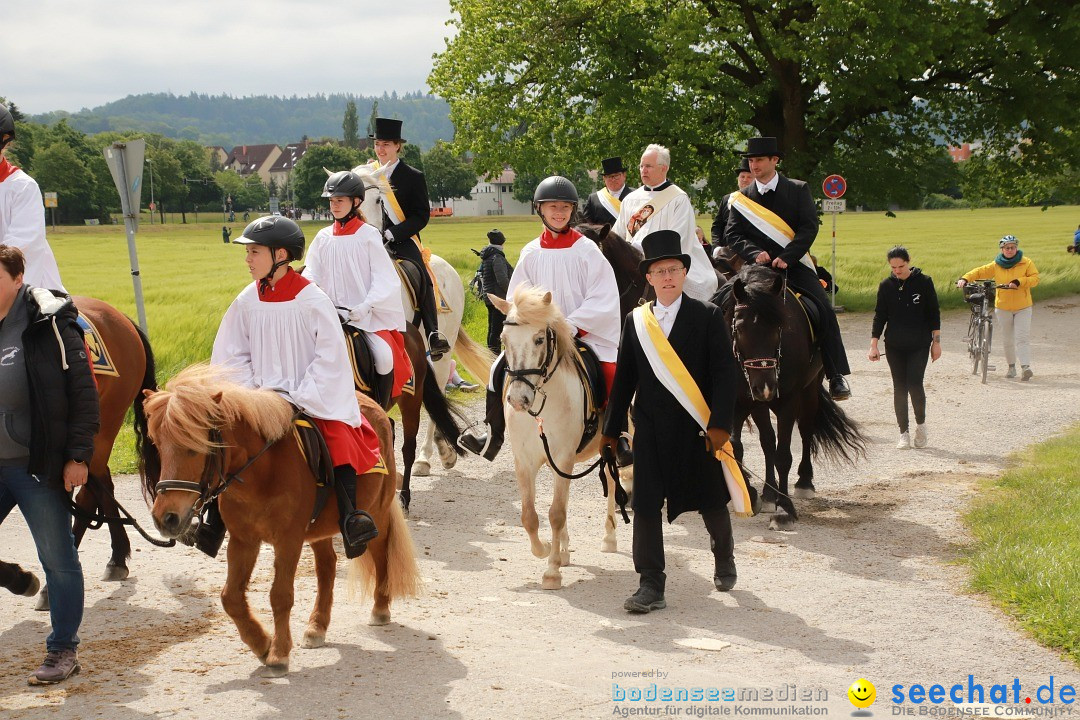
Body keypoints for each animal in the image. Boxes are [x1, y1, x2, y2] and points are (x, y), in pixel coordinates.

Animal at [140, 367, 416, 677]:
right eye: (158, 446)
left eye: (195, 447)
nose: (166, 517)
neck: (263, 471)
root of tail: (375, 409)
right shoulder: (243, 541)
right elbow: (230, 597)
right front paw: (262, 644)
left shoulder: (288, 541)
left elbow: (280, 596)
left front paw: (279, 653)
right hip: (320, 528)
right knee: (327, 566)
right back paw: (317, 626)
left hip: (376, 512)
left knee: (381, 555)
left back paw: (380, 608)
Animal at [490, 284, 617, 591]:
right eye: (503, 339)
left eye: (538, 339)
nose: (518, 399)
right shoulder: (525, 461)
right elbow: (529, 516)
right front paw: (548, 549)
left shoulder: (563, 456)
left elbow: (556, 513)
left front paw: (552, 571)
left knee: (614, 481)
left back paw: (609, 538)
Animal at [721, 264, 864, 528]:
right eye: (740, 328)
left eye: (779, 327)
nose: (766, 386)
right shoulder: (744, 399)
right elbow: (743, 445)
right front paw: (754, 495)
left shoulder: (788, 400)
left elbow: (783, 454)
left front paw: (784, 508)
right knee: (766, 441)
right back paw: (768, 493)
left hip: (809, 391)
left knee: (806, 431)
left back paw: (804, 482)